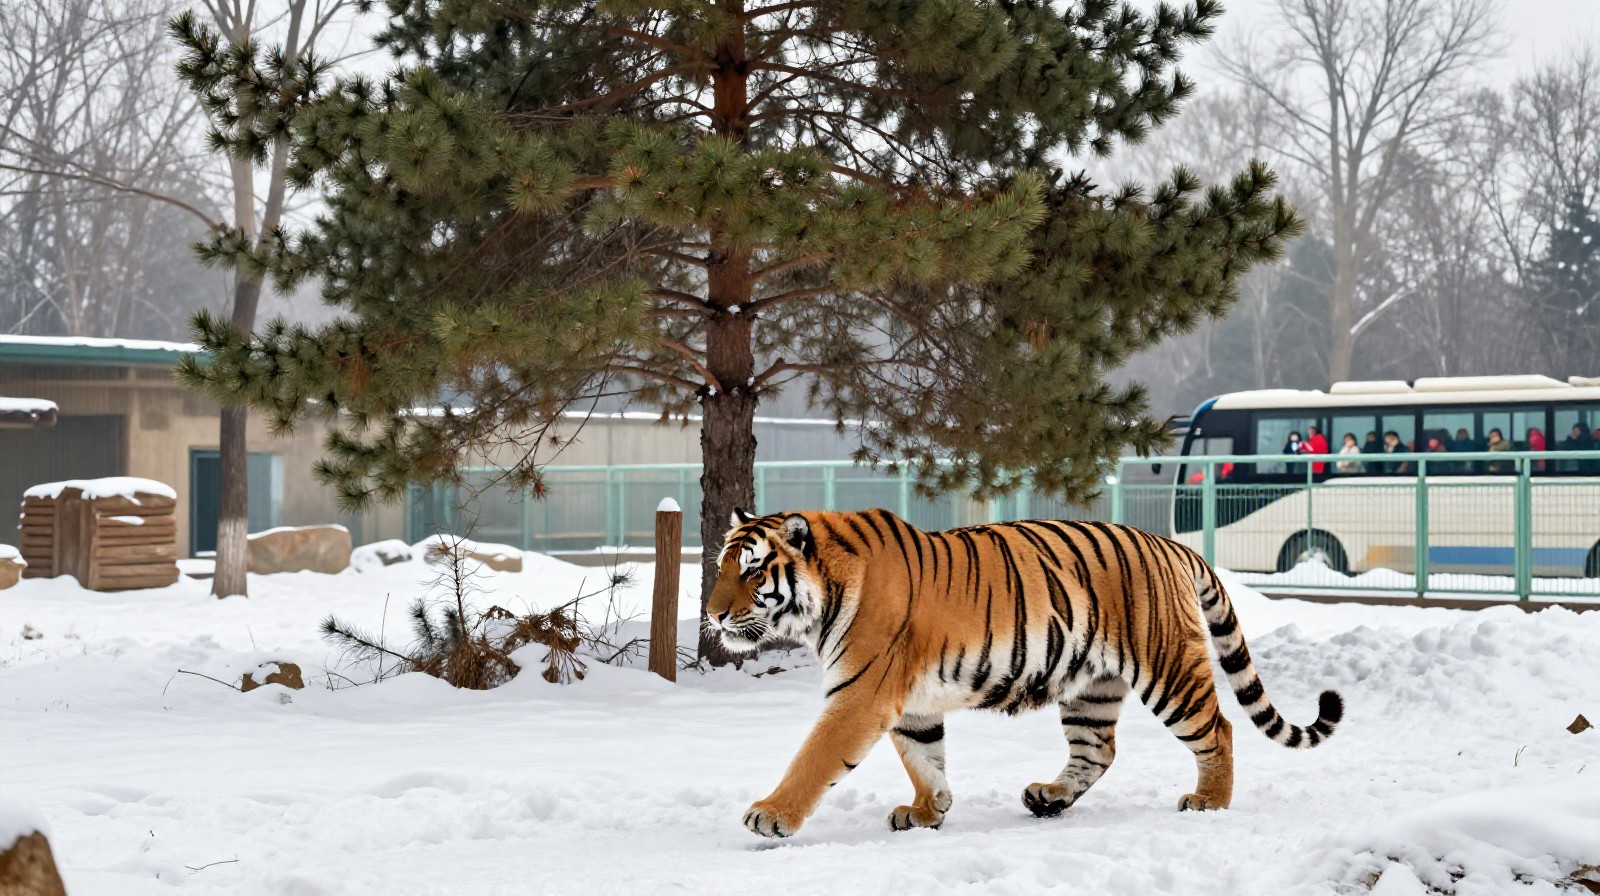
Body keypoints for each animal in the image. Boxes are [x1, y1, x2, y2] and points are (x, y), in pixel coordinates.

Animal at [705, 507, 1343, 839]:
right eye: (719, 568)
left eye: (752, 571)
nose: (712, 614)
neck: (824, 599)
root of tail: (1172, 545)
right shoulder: (910, 703)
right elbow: (922, 756)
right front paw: (929, 809)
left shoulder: (860, 695)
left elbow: (814, 759)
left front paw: (772, 814)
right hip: (1091, 688)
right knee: (1098, 751)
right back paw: (1049, 798)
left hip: (1168, 670)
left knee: (1219, 731)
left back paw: (1209, 801)